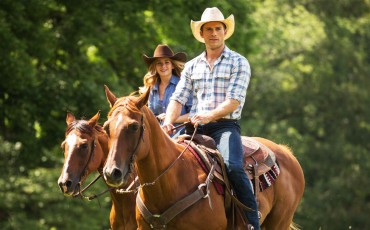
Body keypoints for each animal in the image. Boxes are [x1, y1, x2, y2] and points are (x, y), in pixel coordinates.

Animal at [102, 86, 304, 230]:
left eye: (134, 126)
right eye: (106, 127)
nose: (112, 172)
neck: (170, 182)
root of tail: (286, 153)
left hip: (279, 222)